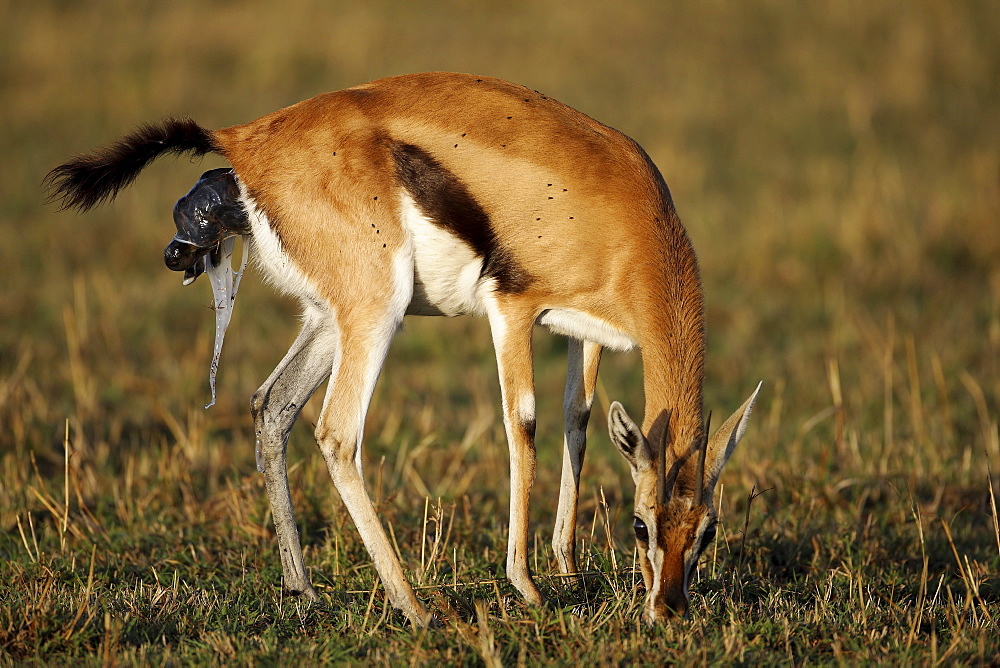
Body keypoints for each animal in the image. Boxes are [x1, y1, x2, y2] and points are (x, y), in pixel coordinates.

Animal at [47, 72, 760, 628]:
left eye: (707, 530)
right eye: (641, 525)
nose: (669, 609)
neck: (626, 215)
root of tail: (243, 141)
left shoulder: (586, 332)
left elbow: (577, 423)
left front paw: (565, 565)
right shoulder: (514, 308)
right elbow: (523, 424)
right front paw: (528, 587)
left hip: (329, 318)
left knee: (270, 406)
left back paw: (304, 593)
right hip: (375, 312)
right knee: (336, 434)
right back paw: (414, 608)